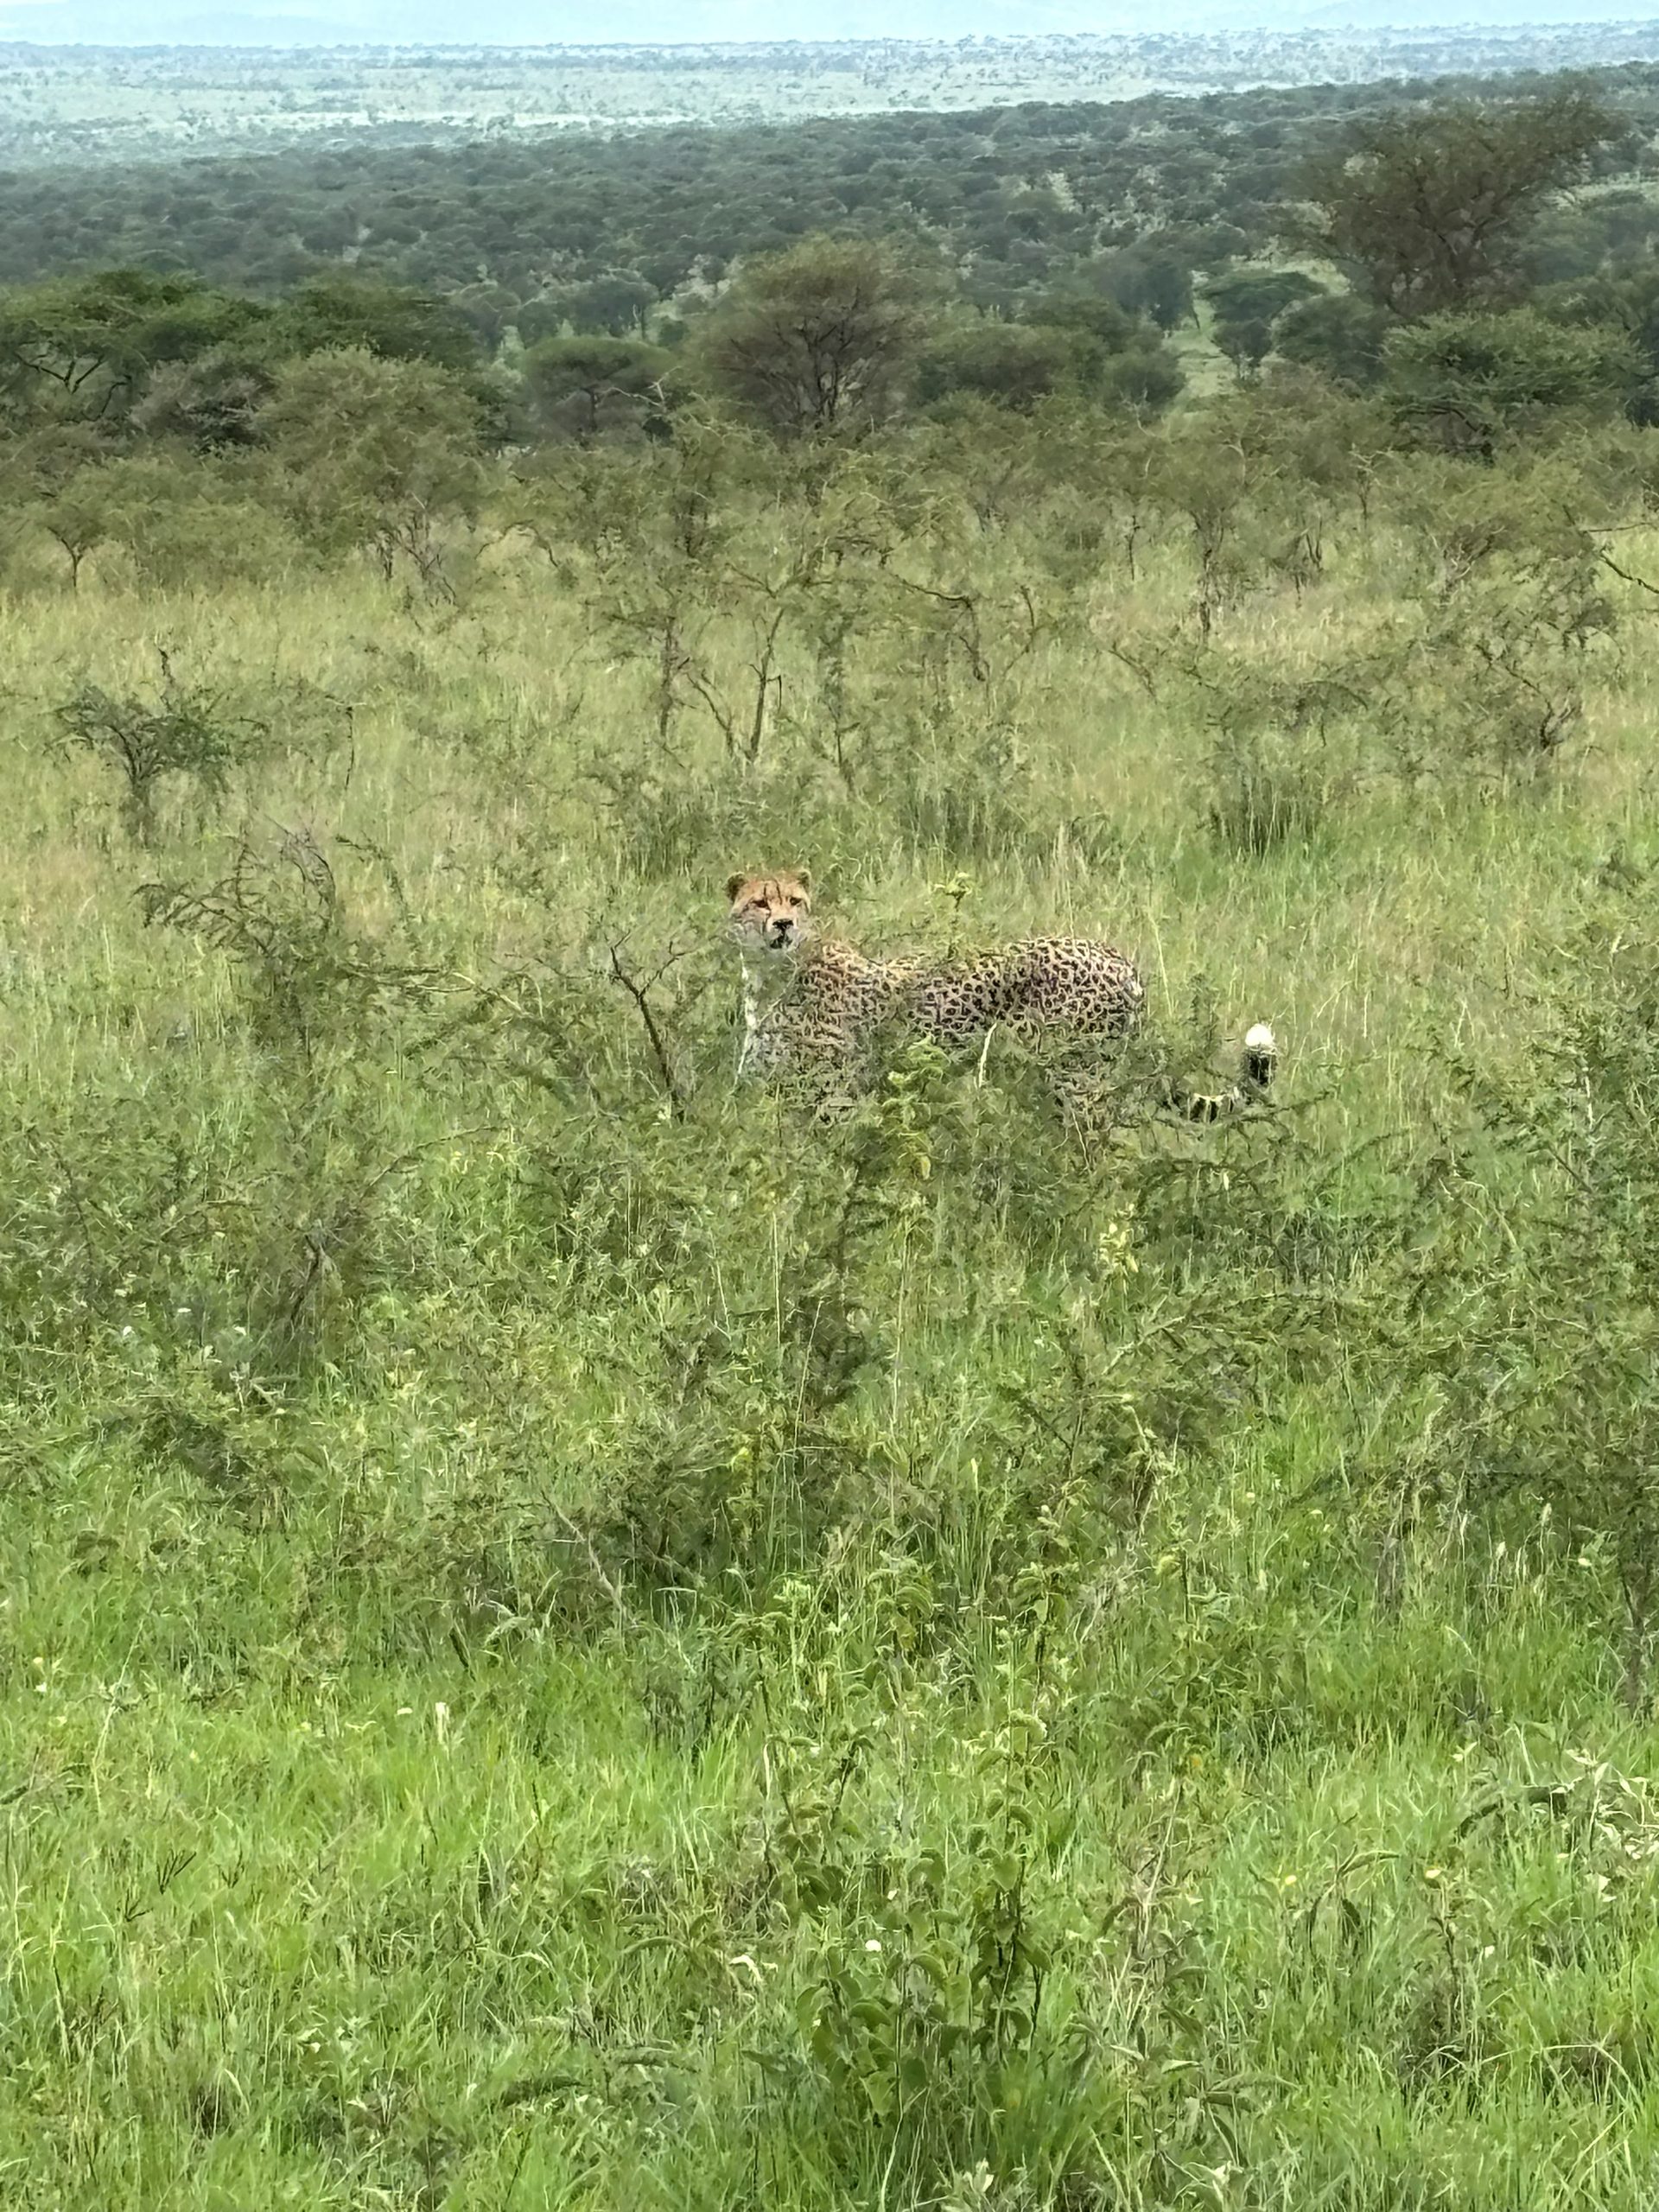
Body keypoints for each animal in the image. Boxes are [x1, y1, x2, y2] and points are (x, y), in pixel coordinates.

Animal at [726, 867, 1277, 1121]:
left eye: (795, 900)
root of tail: (1118, 958)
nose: (784, 925)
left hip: (1078, 1082)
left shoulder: (834, 1098)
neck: (773, 976)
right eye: (760, 902)